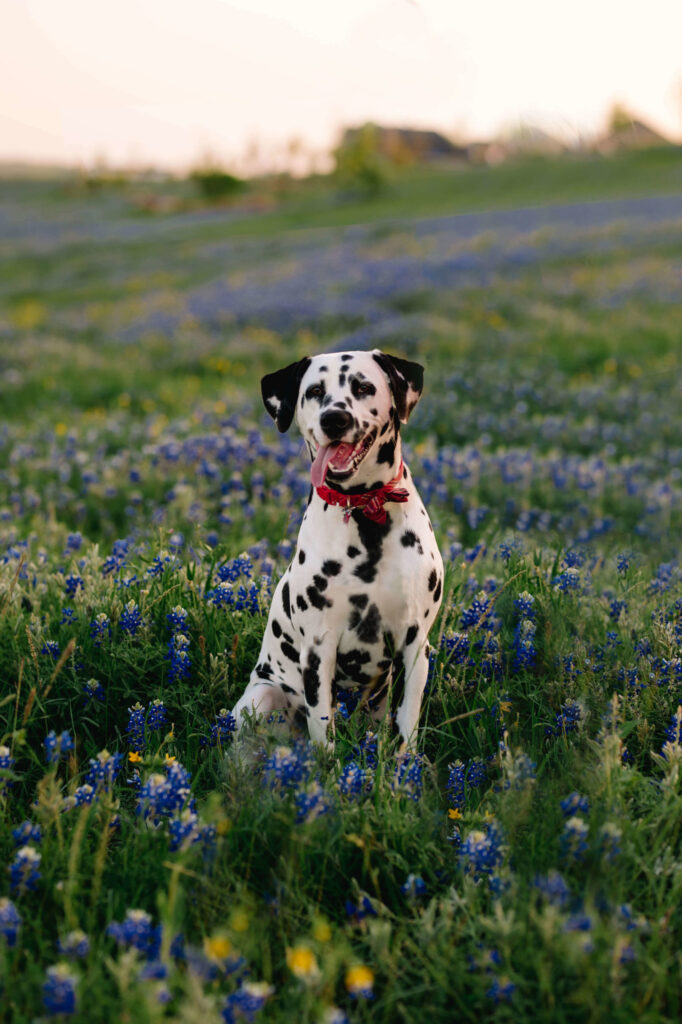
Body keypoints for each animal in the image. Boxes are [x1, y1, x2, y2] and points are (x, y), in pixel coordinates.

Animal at [231, 348, 444, 749]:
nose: (334, 418)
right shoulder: (319, 647)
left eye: (363, 386)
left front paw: (405, 766)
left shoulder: (414, 643)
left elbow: (407, 723)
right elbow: (322, 729)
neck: (366, 508)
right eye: (315, 390)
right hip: (262, 696)